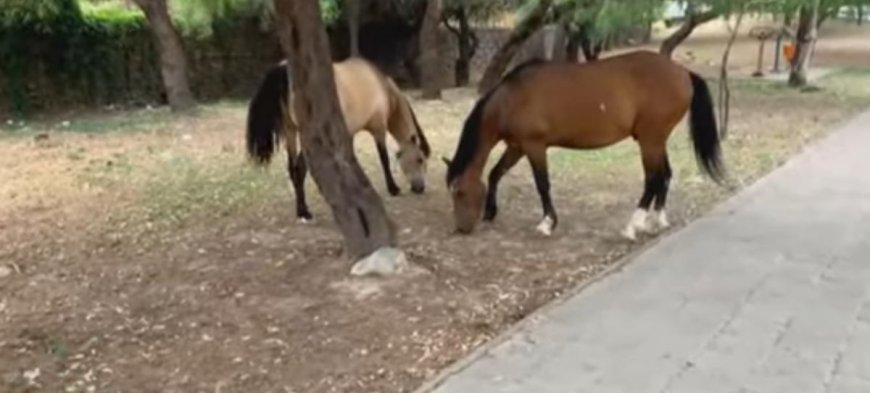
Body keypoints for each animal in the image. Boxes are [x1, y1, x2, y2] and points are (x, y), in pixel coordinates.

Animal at [245, 56, 430, 220]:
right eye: (420, 159)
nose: (420, 188)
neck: (380, 86)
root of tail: (284, 69)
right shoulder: (378, 128)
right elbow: (384, 158)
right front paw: (393, 188)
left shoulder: (349, 133)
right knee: (300, 169)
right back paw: (304, 212)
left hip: (290, 131)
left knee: (292, 168)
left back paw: (301, 210)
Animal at [446, 50, 724, 240]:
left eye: (459, 193)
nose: (461, 228)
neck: (512, 98)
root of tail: (683, 72)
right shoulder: (517, 146)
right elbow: (495, 173)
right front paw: (491, 212)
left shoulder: (534, 146)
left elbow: (542, 184)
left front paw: (547, 223)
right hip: (656, 140)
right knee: (664, 175)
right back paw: (656, 221)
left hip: (650, 140)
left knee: (653, 179)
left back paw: (632, 226)